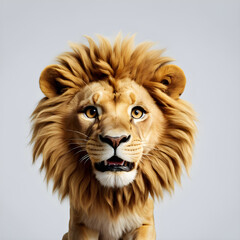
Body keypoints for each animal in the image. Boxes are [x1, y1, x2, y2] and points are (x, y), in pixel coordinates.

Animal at [30, 34, 195, 240]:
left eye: (137, 112)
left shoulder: (145, 224)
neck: (114, 198)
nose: (115, 139)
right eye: (91, 112)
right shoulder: (79, 225)